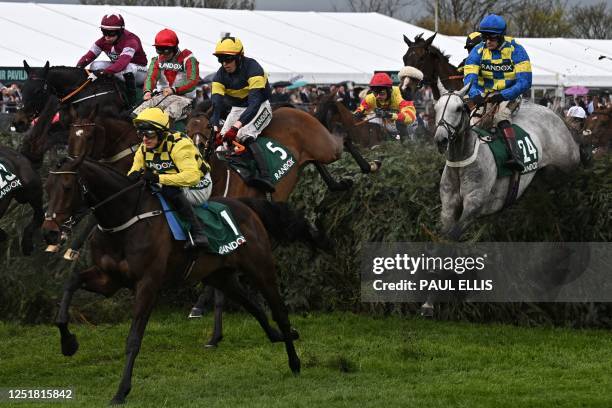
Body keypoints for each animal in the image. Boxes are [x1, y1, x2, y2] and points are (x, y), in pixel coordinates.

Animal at [43, 156, 314, 404]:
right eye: (47, 186)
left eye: (67, 187)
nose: (49, 232)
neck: (124, 220)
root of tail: (245, 206)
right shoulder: (109, 278)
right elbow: (71, 283)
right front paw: (68, 343)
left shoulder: (148, 284)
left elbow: (133, 339)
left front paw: (121, 392)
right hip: (221, 276)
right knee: (254, 306)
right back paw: (278, 336)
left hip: (261, 268)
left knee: (279, 311)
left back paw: (294, 361)